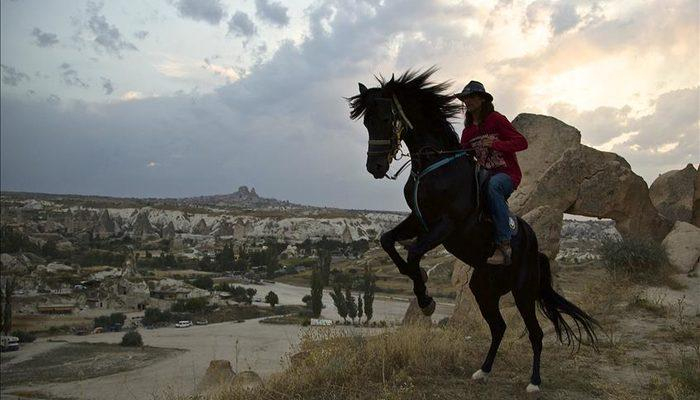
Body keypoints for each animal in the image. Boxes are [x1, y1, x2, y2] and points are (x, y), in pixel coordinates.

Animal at [348, 69, 600, 394]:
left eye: (385, 117)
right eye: (366, 121)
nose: (375, 167)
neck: (434, 163)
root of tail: (536, 250)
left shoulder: (446, 224)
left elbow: (415, 252)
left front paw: (426, 299)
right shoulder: (418, 220)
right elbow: (387, 240)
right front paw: (416, 282)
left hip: (523, 293)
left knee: (534, 333)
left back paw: (534, 382)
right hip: (483, 290)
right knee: (499, 327)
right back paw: (484, 370)